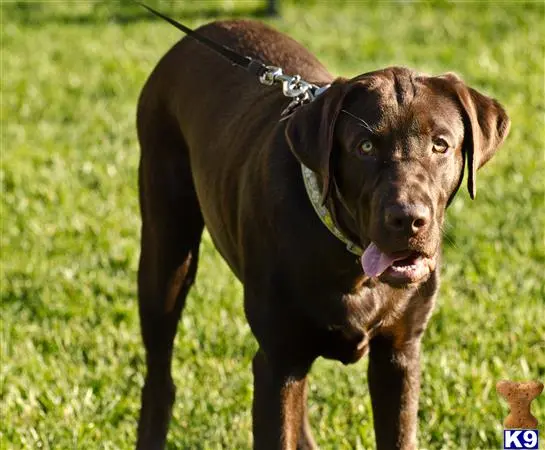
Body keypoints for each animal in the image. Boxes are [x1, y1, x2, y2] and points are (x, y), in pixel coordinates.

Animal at [134, 18, 508, 450]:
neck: (352, 265)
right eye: (364, 147)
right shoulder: (278, 361)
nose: (408, 220)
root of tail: (201, 31)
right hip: (166, 251)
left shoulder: (399, 354)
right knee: (160, 375)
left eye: (440, 144)